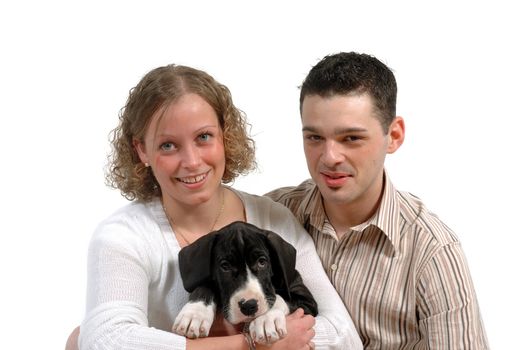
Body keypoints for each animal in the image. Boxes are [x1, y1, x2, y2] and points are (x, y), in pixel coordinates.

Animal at [173, 221, 318, 344]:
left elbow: (281, 299)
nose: (249, 305)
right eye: (225, 266)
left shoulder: (307, 301)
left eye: (262, 262)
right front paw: (195, 313)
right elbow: (204, 285)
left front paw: (267, 319)